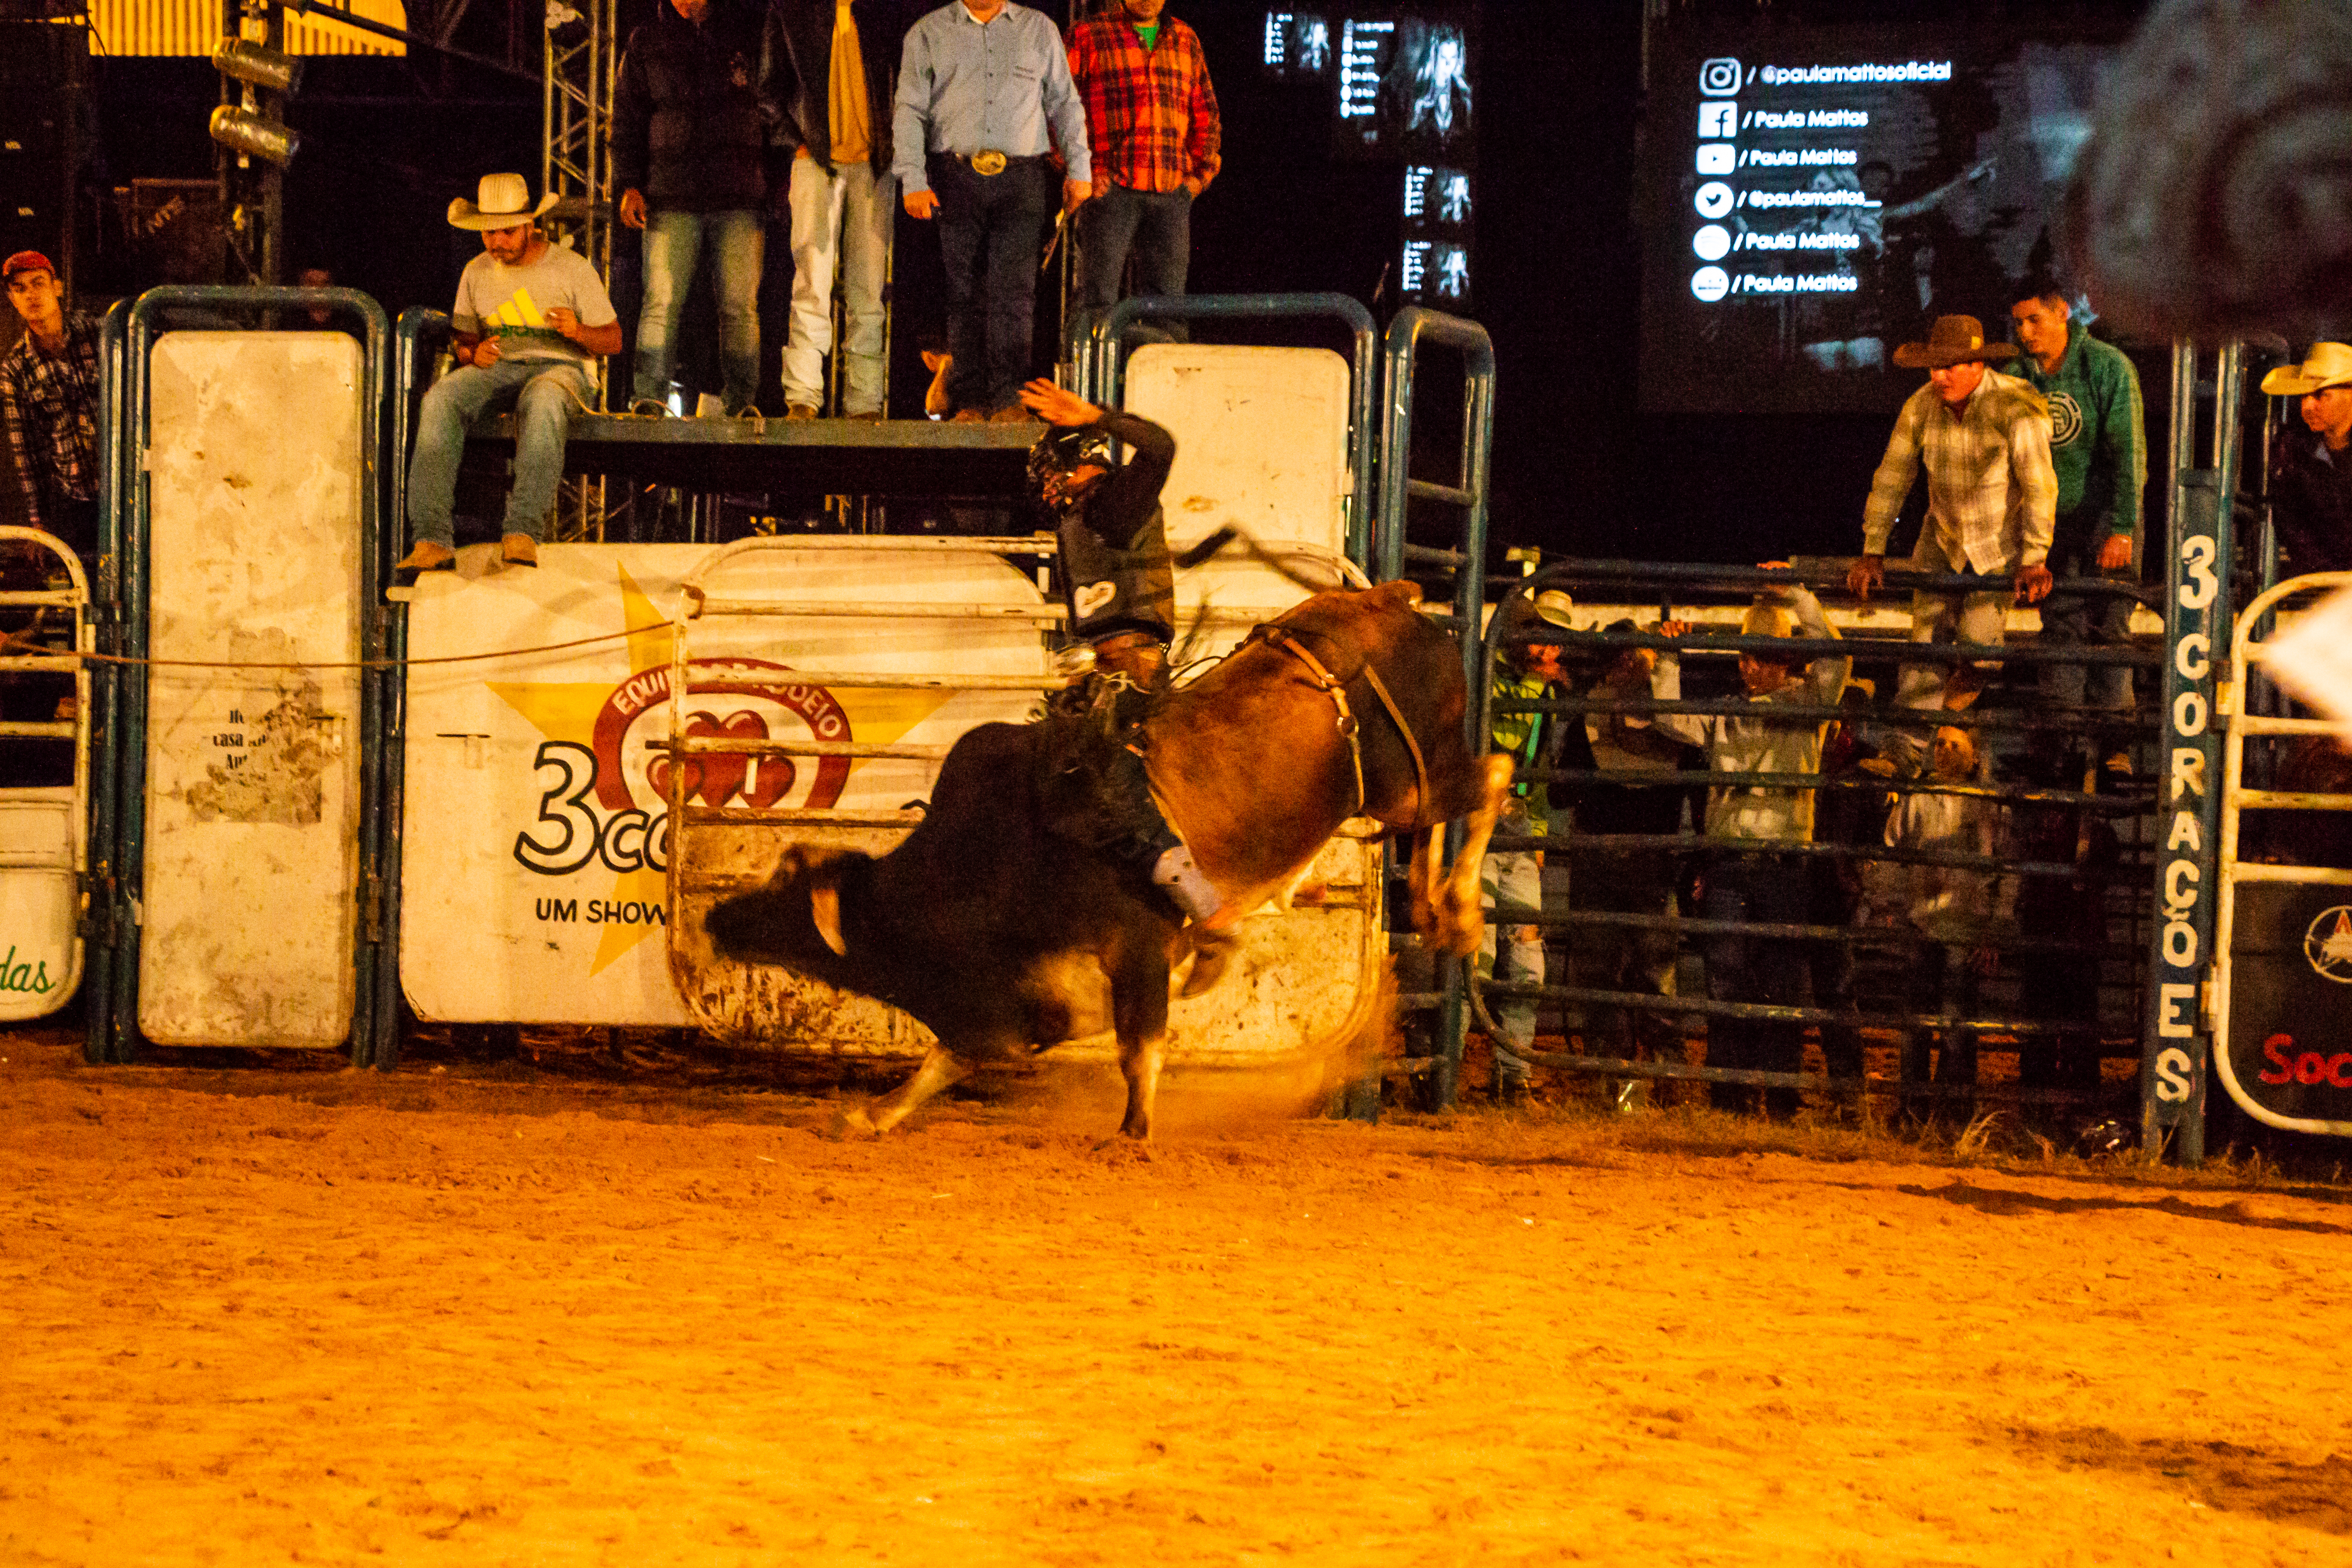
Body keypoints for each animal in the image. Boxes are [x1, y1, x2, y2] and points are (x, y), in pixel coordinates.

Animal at [701, 580, 1505, 1142]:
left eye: (784, 893)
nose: (715, 918)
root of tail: (1384, 598)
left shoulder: (1137, 950)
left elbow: (1137, 1049)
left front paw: (1131, 1132)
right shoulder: (1020, 1005)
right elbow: (947, 1058)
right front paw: (871, 1116)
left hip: (1411, 778)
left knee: (1491, 775)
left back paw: (1462, 914)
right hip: (1405, 791)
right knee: (1443, 813)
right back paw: (1432, 909)